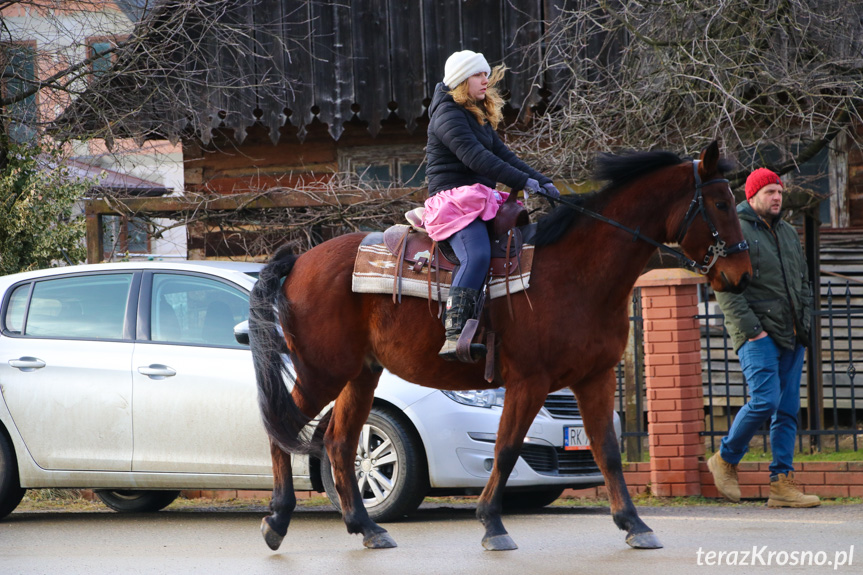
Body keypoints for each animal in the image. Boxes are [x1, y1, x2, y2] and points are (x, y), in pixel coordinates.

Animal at [248, 141, 748, 552]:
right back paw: (277, 520)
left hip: (360, 375)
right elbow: (507, 449)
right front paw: (492, 524)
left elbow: (606, 450)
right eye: (722, 203)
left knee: (339, 443)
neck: (577, 274)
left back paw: (366, 527)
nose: (740, 275)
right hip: (322, 373)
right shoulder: (529, 381)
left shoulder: (595, 378)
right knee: (280, 428)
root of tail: (299, 261)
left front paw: (634, 524)